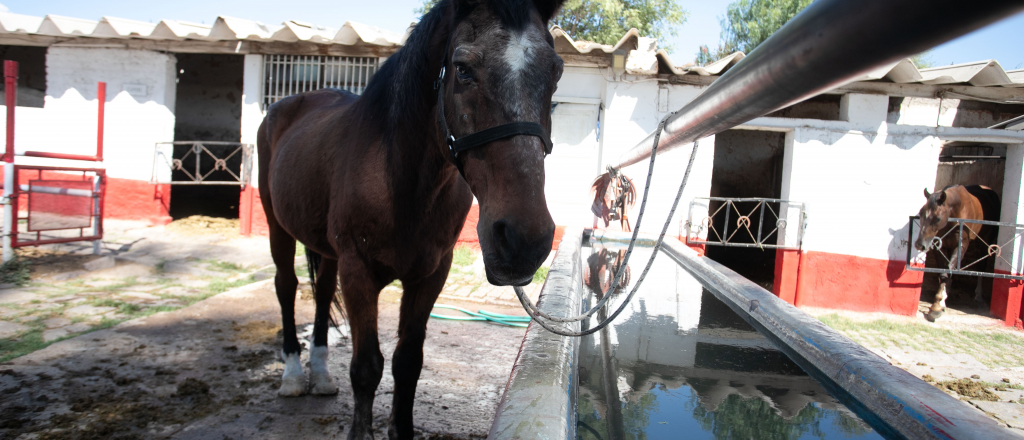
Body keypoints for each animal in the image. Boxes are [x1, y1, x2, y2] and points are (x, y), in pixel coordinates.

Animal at [256, 0, 565, 437]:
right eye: (462, 68)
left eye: (555, 71)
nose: (525, 240)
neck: (401, 179)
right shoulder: (358, 270)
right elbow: (367, 368)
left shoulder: (431, 273)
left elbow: (408, 362)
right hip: (277, 226)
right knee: (286, 287)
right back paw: (294, 377)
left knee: (322, 293)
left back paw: (321, 375)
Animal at [914, 185, 1000, 322]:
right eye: (921, 213)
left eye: (938, 218)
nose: (919, 244)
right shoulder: (939, 245)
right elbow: (943, 272)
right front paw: (940, 302)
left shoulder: (962, 246)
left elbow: (949, 270)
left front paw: (937, 306)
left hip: (986, 241)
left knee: (981, 266)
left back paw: (978, 296)